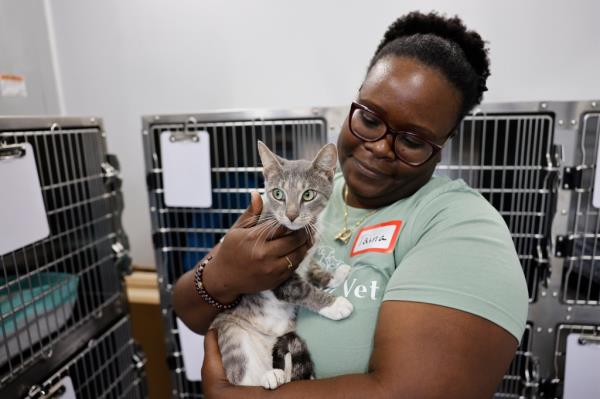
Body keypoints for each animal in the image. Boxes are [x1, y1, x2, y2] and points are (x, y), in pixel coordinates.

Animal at [210, 141, 354, 390]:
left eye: (308, 194)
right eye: (278, 194)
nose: (291, 215)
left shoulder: (308, 252)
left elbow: (312, 270)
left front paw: (334, 275)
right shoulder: (274, 276)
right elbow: (300, 289)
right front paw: (335, 305)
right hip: (232, 332)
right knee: (242, 376)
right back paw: (266, 377)